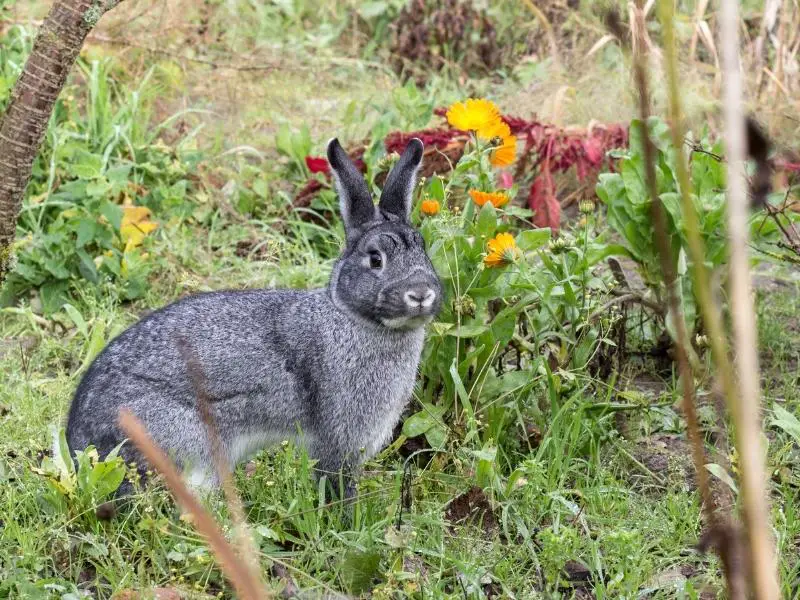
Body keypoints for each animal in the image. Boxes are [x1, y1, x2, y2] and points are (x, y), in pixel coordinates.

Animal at [67, 137, 444, 496]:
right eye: (375, 259)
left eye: (423, 249)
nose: (420, 293)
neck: (354, 318)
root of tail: (81, 452)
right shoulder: (338, 441)